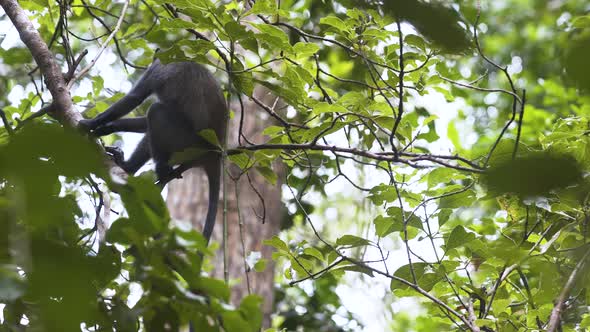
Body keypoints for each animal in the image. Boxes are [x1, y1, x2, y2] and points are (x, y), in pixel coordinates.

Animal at [78, 58, 227, 243]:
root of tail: (215, 152)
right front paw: (108, 127)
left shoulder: (159, 67)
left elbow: (134, 98)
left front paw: (90, 123)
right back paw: (128, 168)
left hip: (187, 144)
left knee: (156, 111)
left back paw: (159, 170)